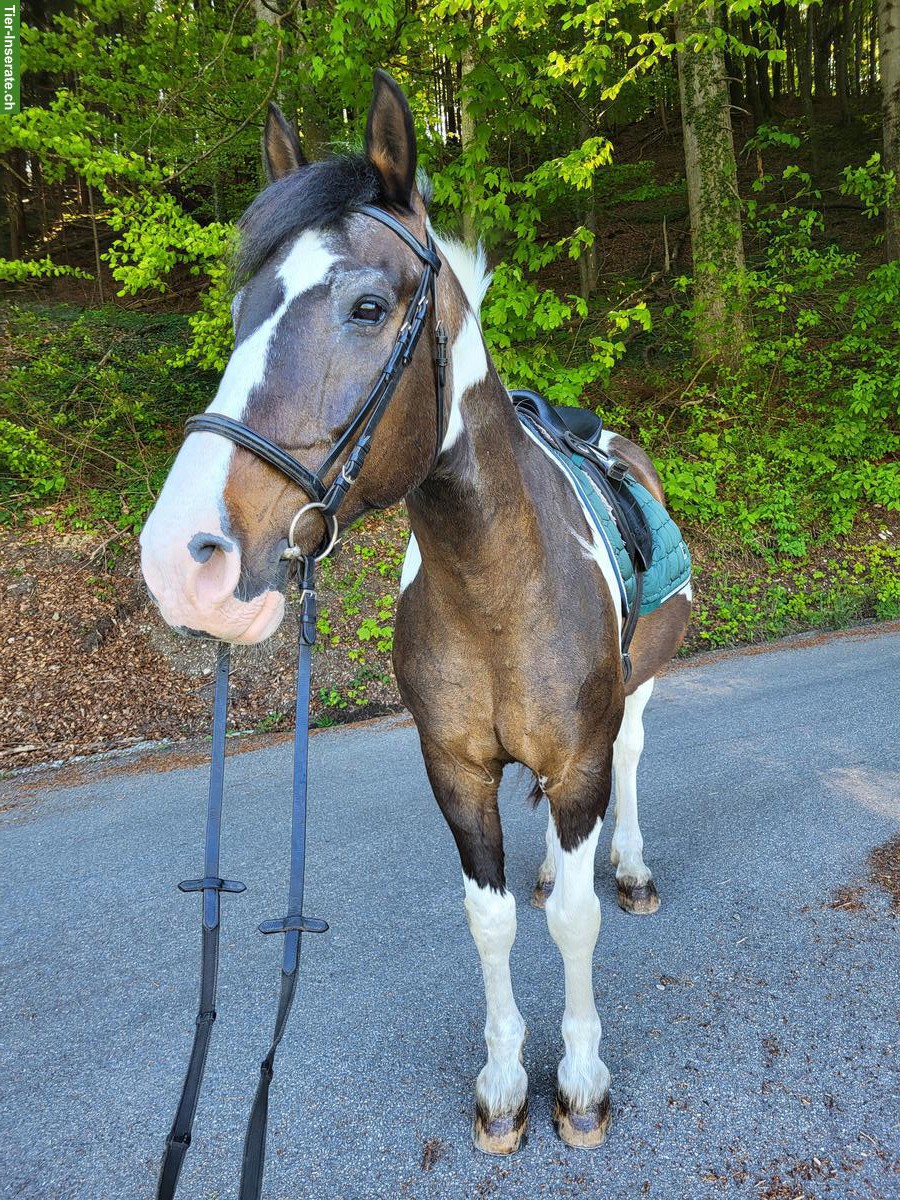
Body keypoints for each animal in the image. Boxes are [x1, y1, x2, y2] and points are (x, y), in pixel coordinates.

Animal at [140, 70, 691, 1155]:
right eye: (242, 308)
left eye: (365, 304)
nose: (183, 559)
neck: (498, 586)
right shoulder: (456, 772)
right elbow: (492, 921)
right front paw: (503, 1085)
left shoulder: (579, 755)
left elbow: (576, 924)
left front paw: (581, 1082)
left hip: (640, 686)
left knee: (637, 760)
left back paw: (632, 867)